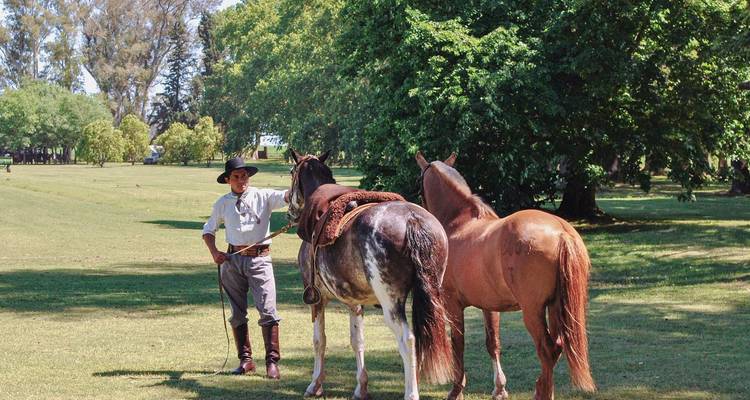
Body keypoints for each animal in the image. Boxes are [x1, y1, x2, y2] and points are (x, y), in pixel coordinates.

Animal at [287, 150, 453, 400]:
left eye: (291, 172)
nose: (287, 202)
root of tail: (412, 219)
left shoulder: (317, 299)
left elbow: (319, 340)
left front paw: (315, 384)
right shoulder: (354, 303)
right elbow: (358, 341)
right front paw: (361, 387)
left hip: (391, 303)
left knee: (408, 340)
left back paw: (411, 392)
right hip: (433, 293)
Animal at [415, 152, 595, 400]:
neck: (459, 224)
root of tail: (561, 231)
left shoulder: (453, 304)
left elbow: (458, 344)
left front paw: (456, 390)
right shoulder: (489, 306)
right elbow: (493, 343)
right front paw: (499, 389)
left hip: (533, 311)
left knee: (547, 350)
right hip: (556, 306)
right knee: (557, 347)